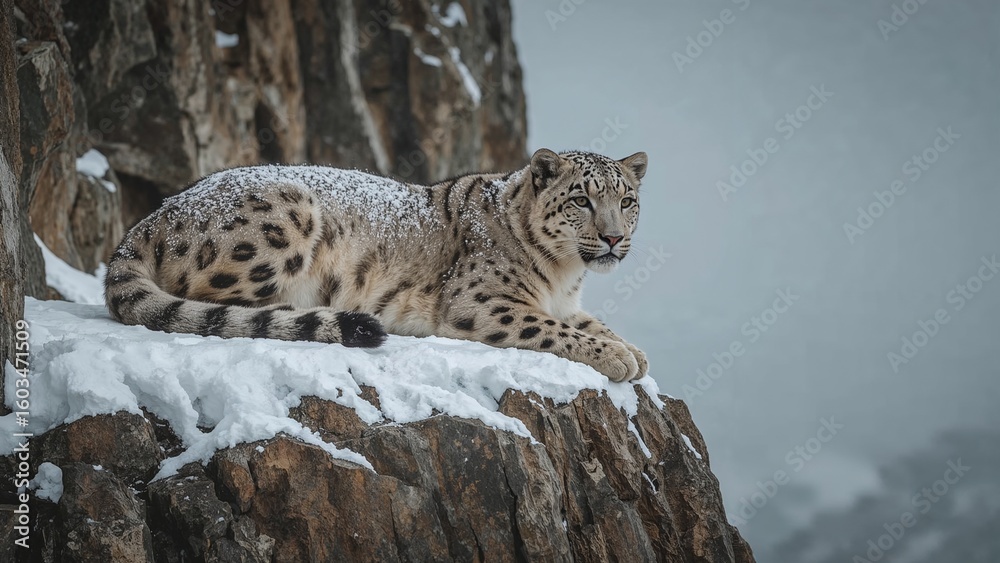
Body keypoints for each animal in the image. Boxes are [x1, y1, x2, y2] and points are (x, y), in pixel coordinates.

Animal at [104, 148, 650, 382]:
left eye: (626, 200)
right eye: (581, 199)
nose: (613, 238)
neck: (564, 275)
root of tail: (156, 214)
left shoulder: (567, 302)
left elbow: (590, 322)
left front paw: (633, 351)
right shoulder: (483, 302)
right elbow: (552, 329)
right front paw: (617, 358)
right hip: (286, 217)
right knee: (212, 301)